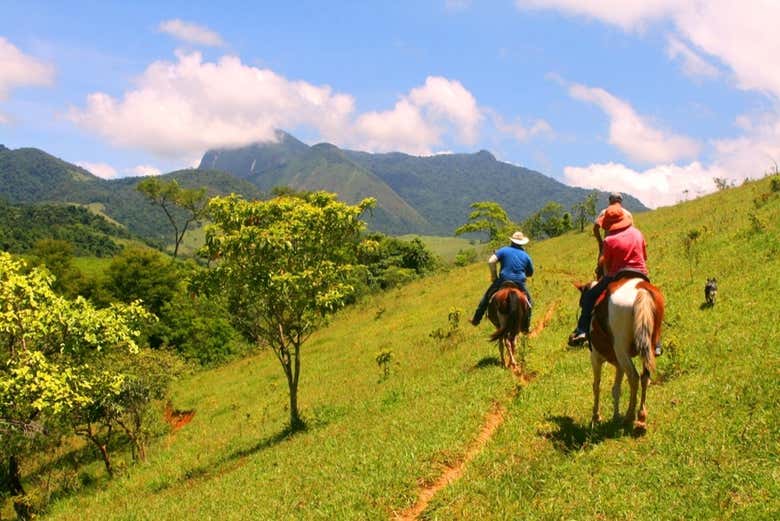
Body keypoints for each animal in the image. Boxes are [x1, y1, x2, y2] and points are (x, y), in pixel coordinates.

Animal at [572, 274, 664, 428]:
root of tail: (641, 289)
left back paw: (629, 416)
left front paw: (596, 417)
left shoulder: (596, 358)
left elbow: (596, 386)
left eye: (581, 302)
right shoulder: (619, 364)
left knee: (633, 377)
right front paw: (615, 416)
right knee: (645, 377)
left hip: (622, 351)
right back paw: (641, 417)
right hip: (647, 347)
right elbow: (616, 389)